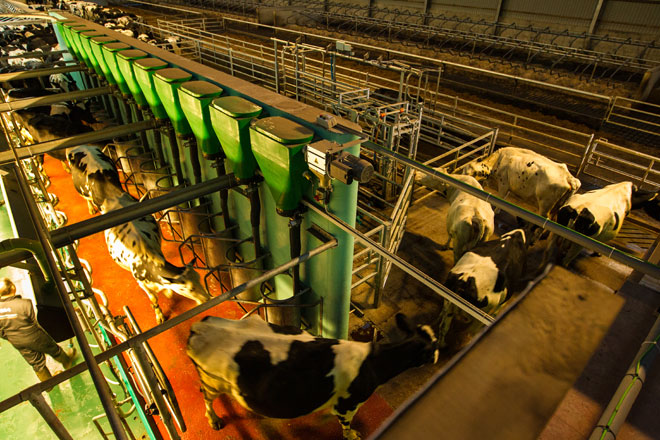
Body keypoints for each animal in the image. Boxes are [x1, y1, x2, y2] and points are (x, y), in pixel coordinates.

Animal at [102, 192, 211, 324]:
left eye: (199, 278)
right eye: (190, 289)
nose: (207, 298)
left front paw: (168, 292)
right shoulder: (142, 283)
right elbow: (153, 298)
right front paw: (159, 316)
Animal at [186, 314, 438, 438]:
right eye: (433, 347)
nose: (438, 356)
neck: (373, 363)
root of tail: (199, 326)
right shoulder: (347, 405)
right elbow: (346, 426)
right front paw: (353, 435)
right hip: (212, 382)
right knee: (207, 399)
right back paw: (214, 420)